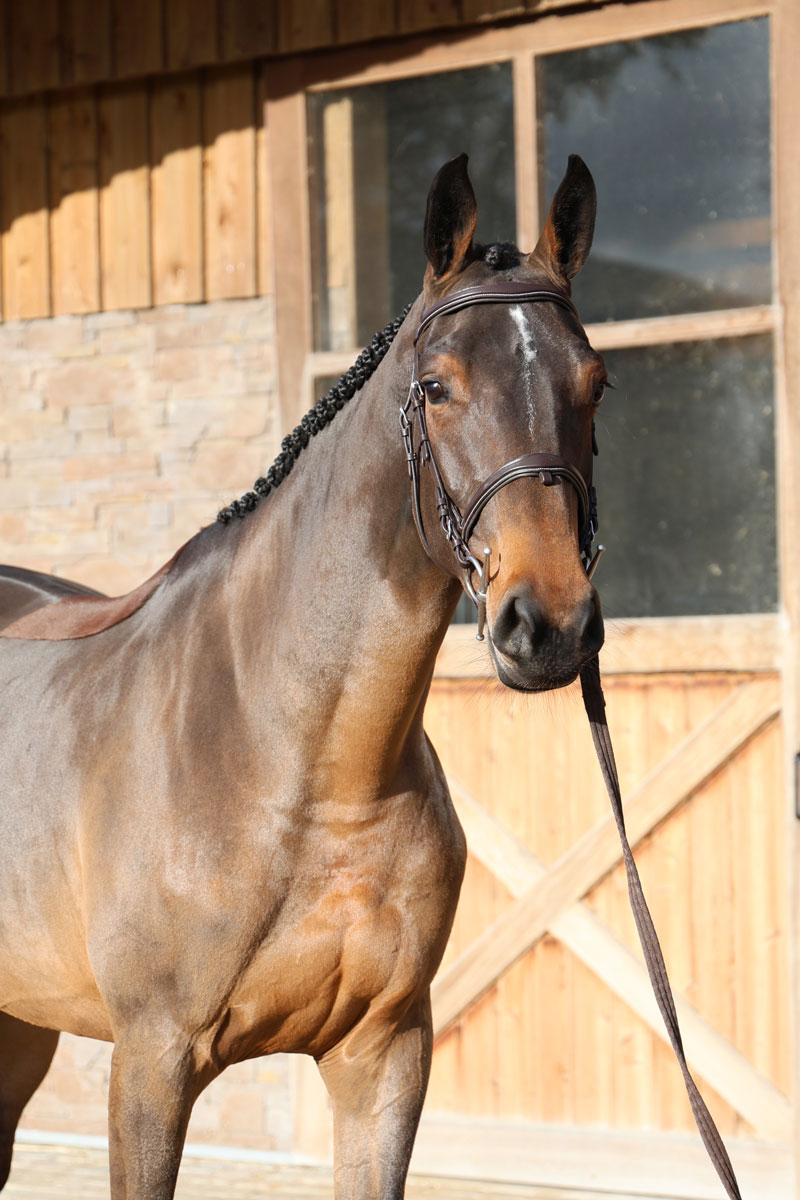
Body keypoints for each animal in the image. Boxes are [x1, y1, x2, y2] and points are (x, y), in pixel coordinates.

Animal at [0, 153, 605, 1199]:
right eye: (436, 387)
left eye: (596, 382)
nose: (549, 626)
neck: (301, 761)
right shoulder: (151, 1061)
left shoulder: (384, 1055)